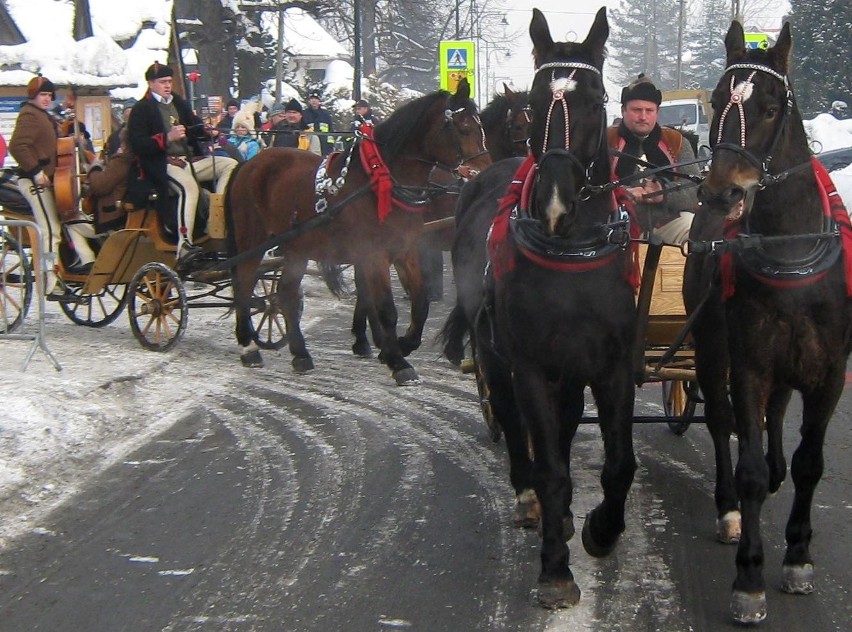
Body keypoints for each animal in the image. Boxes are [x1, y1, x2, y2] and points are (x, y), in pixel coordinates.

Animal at [226, 79, 490, 386]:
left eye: (480, 125)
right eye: (463, 127)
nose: (485, 172)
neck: (381, 183)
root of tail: (251, 163)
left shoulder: (405, 250)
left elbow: (420, 302)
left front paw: (403, 344)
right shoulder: (373, 255)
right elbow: (386, 309)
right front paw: (398, 361)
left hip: (297, 248)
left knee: (287, 293)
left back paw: (300, 354)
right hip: (251, 239)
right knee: (244, 285)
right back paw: (249, 347)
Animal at [442, 6, 636, 608]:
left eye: (596, 98)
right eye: (533, 97)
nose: (554, 201)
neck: (572, 254)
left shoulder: (611, 365)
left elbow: (619, 464)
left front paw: (601, 529)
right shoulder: (529, 365)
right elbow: (550, 465)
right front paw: (555, 568)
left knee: (566, 420)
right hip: (495, 355)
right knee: (510, 418)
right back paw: (528, 497)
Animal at [684, 21, 852, 628]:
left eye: (773, 105)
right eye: (716, 98)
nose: (723, 191)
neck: (793, 250)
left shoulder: (830, 373)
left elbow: (809, 463)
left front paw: (798, 556)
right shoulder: (750, 365)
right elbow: (750, 466)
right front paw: (750, 579)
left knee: (775, 418)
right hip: (712, 351)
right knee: (721, 422)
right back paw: (728, 508)